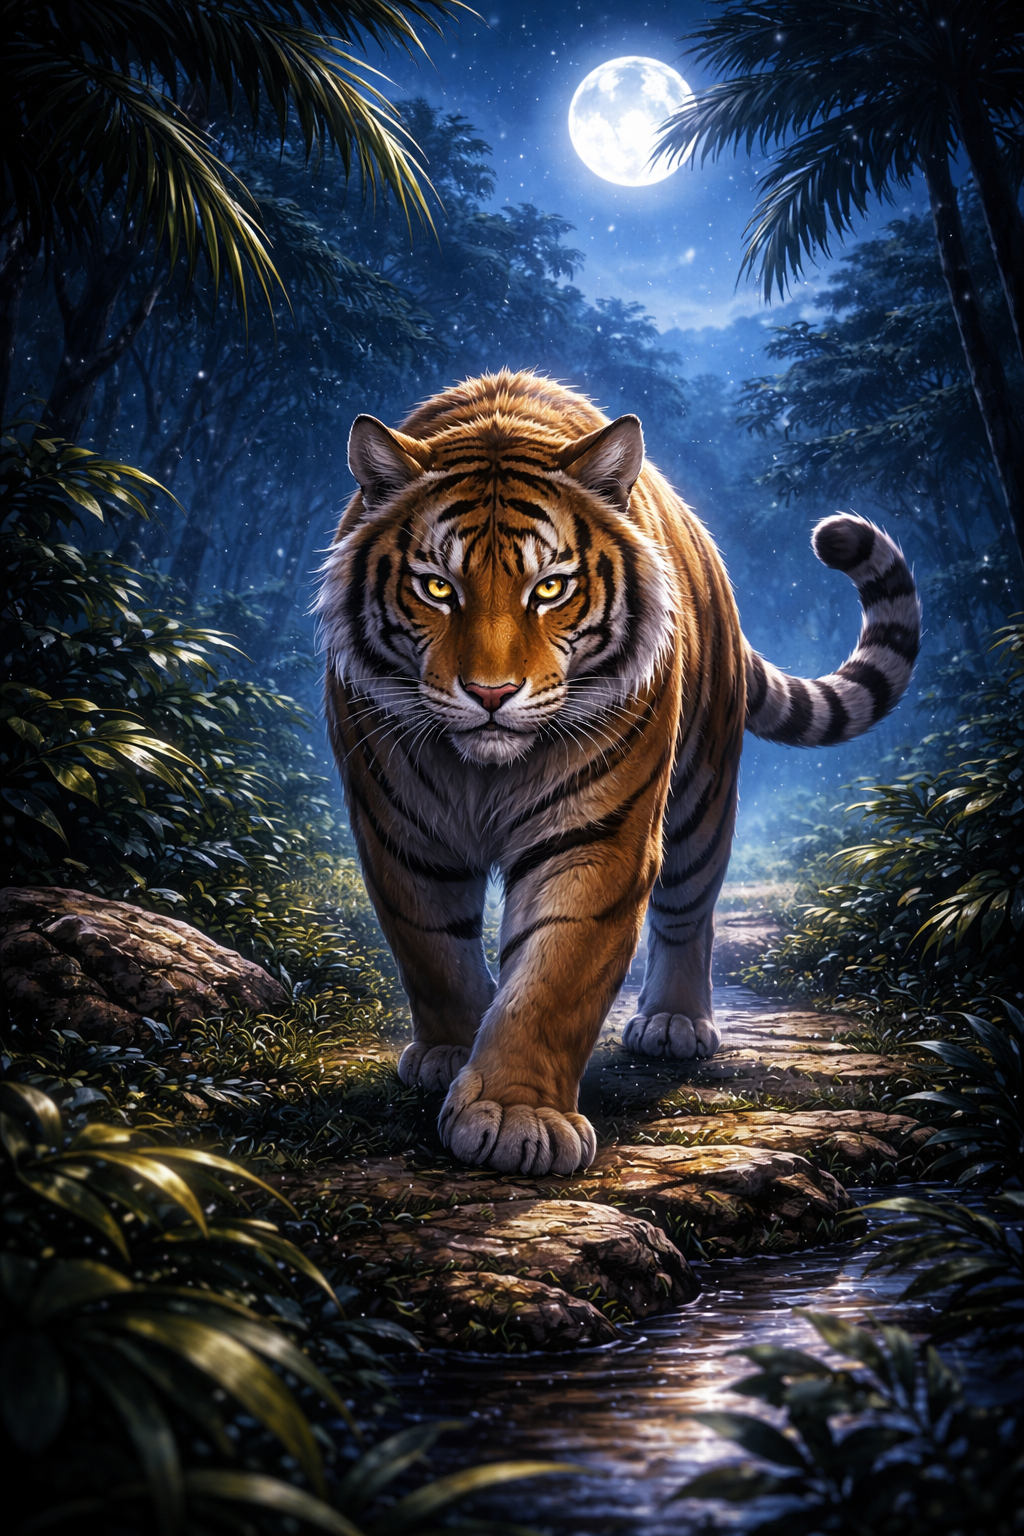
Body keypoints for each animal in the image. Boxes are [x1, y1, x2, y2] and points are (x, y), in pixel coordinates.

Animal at [318, 370, 921, 1177]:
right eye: (437, 588)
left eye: (549, 588)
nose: (489, 695)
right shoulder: (400, 831)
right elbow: (433, 951)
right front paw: (449, 1054)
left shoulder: (599, 834)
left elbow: (555, 975)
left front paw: (515, 1115)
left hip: (703, 795)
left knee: (690, 909)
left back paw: (673, 1022)